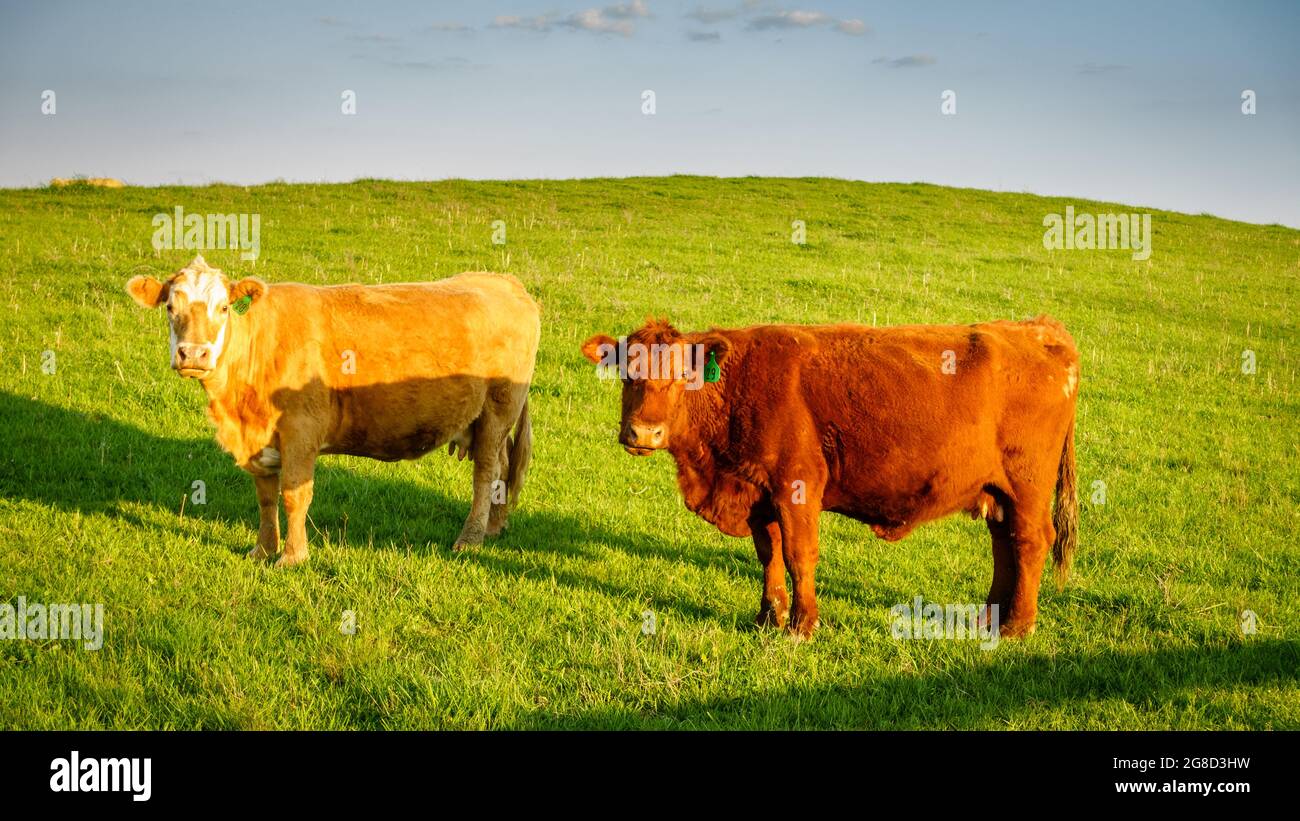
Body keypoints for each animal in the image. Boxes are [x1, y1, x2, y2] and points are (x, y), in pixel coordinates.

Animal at [125, 257, 538, 563]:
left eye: (223, 307)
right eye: (170, 307)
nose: (194, 354)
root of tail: (503, 281)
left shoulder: (301, 431)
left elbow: (294, 494)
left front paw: (292, 556)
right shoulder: (260, 440)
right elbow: (265, 497)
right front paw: (262, 550)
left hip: (500, 407)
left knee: (486, 473)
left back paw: (470, 538)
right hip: (487, 420)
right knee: (502, 467)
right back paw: (495, 526)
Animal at [585, 316, 1081, 639]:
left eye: (681, 376)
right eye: (626, 374)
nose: (643, 433)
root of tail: (1038, 328)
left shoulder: (797, 487)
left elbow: (799, 555)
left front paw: (802, 626)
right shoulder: (759, 492)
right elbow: (770, 556)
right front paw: (768, 617)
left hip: (1028, 486)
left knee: (1031, 541)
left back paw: (1017, 625)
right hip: (997, 491)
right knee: (1004, 544)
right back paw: (989, 618)